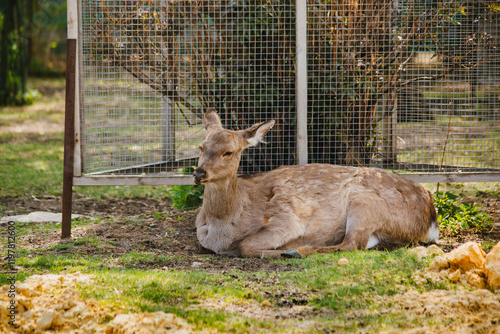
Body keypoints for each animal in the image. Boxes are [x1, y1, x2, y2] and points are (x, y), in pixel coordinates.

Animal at [191, 109, 438, 258]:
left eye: (228, 152)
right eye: (201, 147)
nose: (199, 173)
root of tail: (432, 219)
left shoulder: (287, 219)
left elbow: (246, 246)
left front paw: (285, 249)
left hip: (365, 202)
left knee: (352, 244)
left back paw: (296, 251)